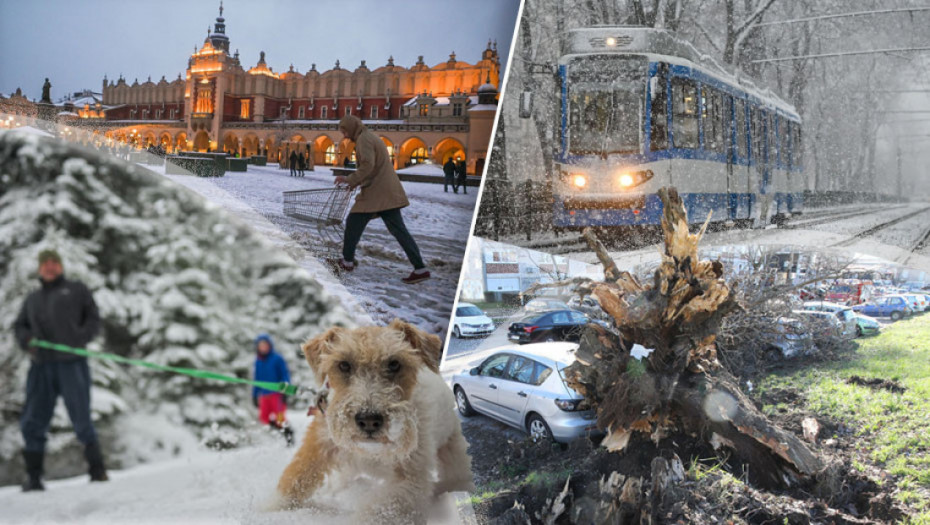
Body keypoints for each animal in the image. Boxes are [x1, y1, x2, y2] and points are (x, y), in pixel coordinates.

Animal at [268, 318, 472, 520]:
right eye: (344, 365)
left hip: (454, 455)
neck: (371, 451)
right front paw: (270, 510)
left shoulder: (409, 480)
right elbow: (294, 482)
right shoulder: (318, 447)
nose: (368, 420)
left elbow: (378, 512)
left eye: (394, 363)